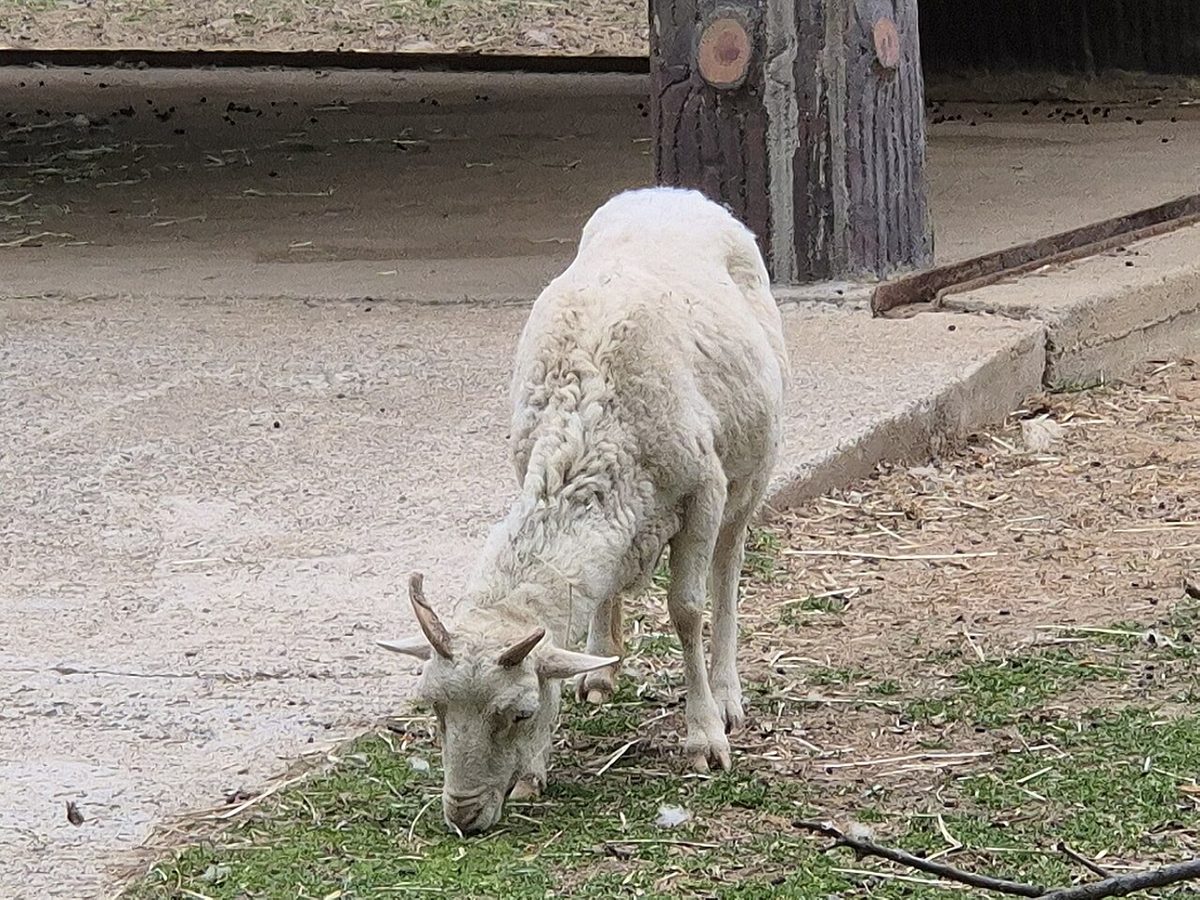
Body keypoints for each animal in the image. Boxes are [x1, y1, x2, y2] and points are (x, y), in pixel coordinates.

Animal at [377, 186, 790, 835]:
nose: (463, 816)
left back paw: (726, 693)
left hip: (750, 469)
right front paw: (538, 764)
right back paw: (600, 667)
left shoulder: (703, 490)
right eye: (433, 707)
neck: (585, 427)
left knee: (728, 571)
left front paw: (704, 737)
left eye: (520, 712)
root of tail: (673, 192)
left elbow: (686, 611)